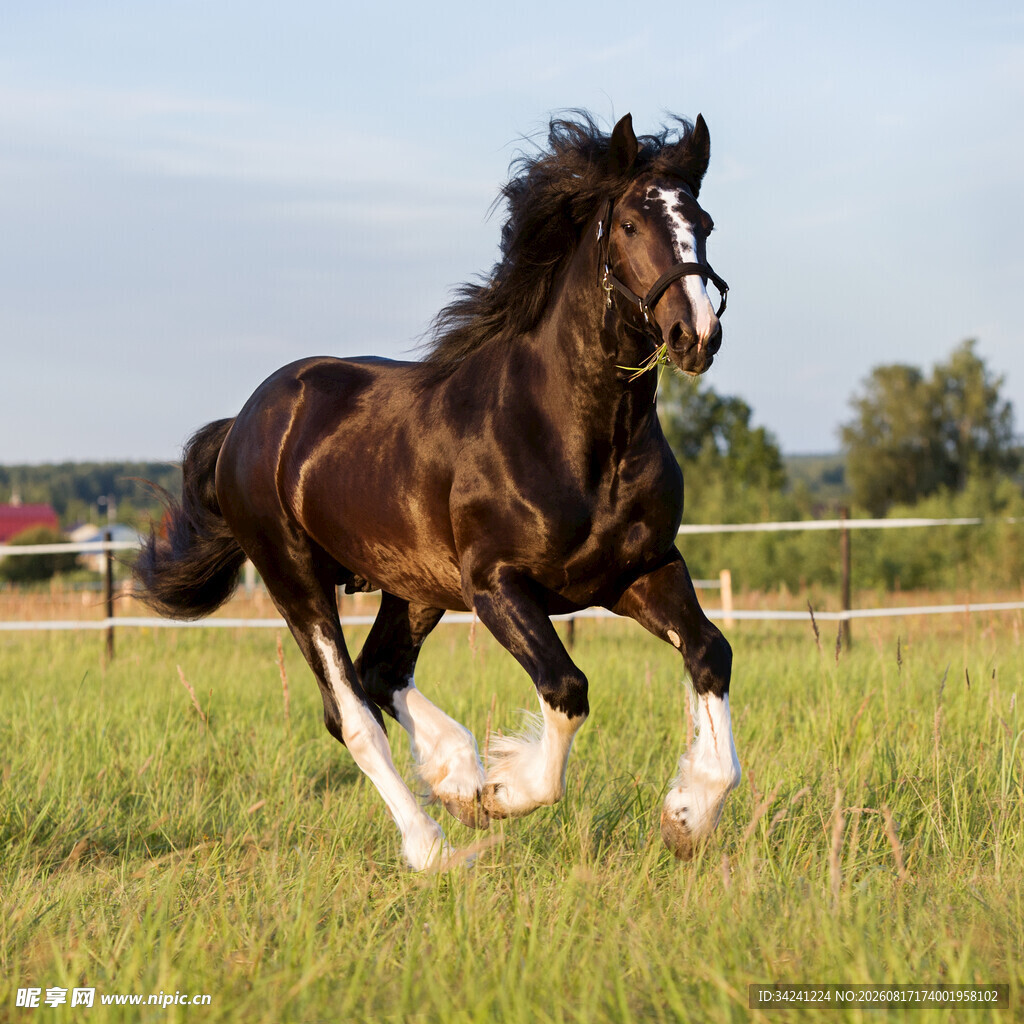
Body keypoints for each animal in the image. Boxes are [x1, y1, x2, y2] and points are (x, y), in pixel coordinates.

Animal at [135, 111, 741, 870]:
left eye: (705, 223)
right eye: (630, 224)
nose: (697, 335)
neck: (577, 437)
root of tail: (246, 422)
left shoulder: (642, 570)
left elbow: (710, 653)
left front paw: (686, 813)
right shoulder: (496, 585)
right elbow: (566, 688)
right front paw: (504, 792)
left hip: (414, 586)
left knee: (380, 671)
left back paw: (453, 771)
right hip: (295, 580)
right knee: (350, 713)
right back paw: (433, 845)